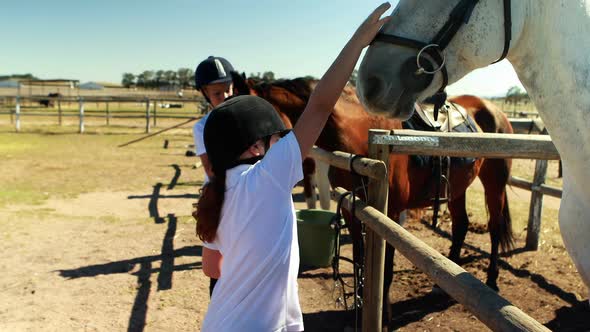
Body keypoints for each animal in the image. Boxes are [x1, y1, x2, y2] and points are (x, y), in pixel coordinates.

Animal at [245, 78, 512, 326]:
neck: (360, 133)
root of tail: (494, 111)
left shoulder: (389, 214)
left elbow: (387, 267)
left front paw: (383, 316)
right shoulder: (351, 210)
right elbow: (359, 258)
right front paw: (360, 306)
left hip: (494, 183)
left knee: (494, 227)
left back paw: (492, 280)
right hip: (457, 190)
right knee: (461, 225)